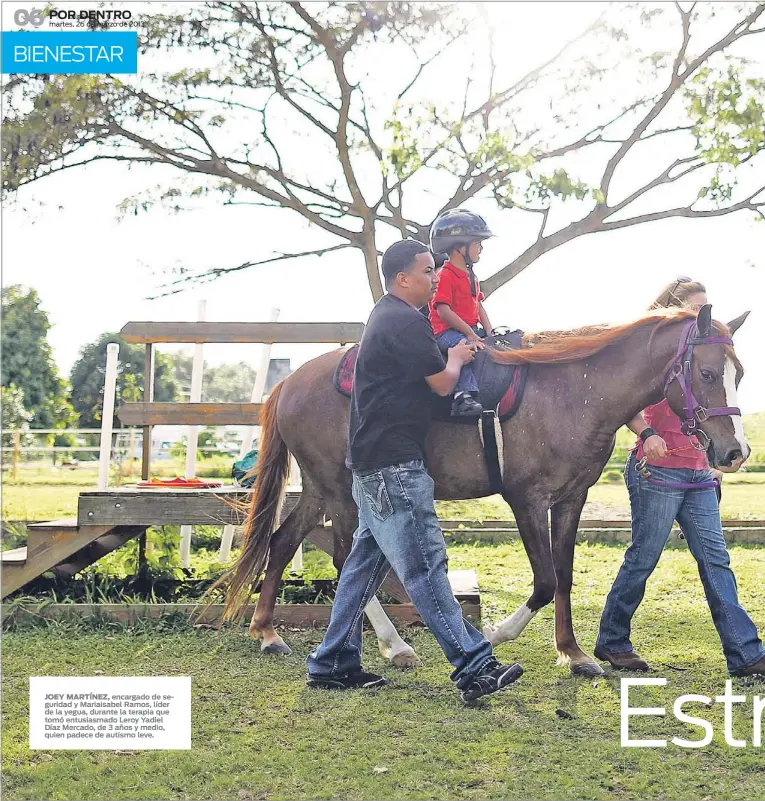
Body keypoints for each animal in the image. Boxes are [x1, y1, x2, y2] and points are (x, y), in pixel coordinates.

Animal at [215, 304, 748, 676]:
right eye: (706, 374)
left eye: (738, 374)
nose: (736, 451)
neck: (575, 390)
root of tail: (289, 382)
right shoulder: (527, 500)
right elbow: (544, 580)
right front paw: (495, 632)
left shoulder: (570, 500)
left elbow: (564, 576)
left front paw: (573, 653)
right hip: (343, 491)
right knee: (344, 559)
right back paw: (394, 645)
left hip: (320, 488)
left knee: (282, 541)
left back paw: (267, 632)